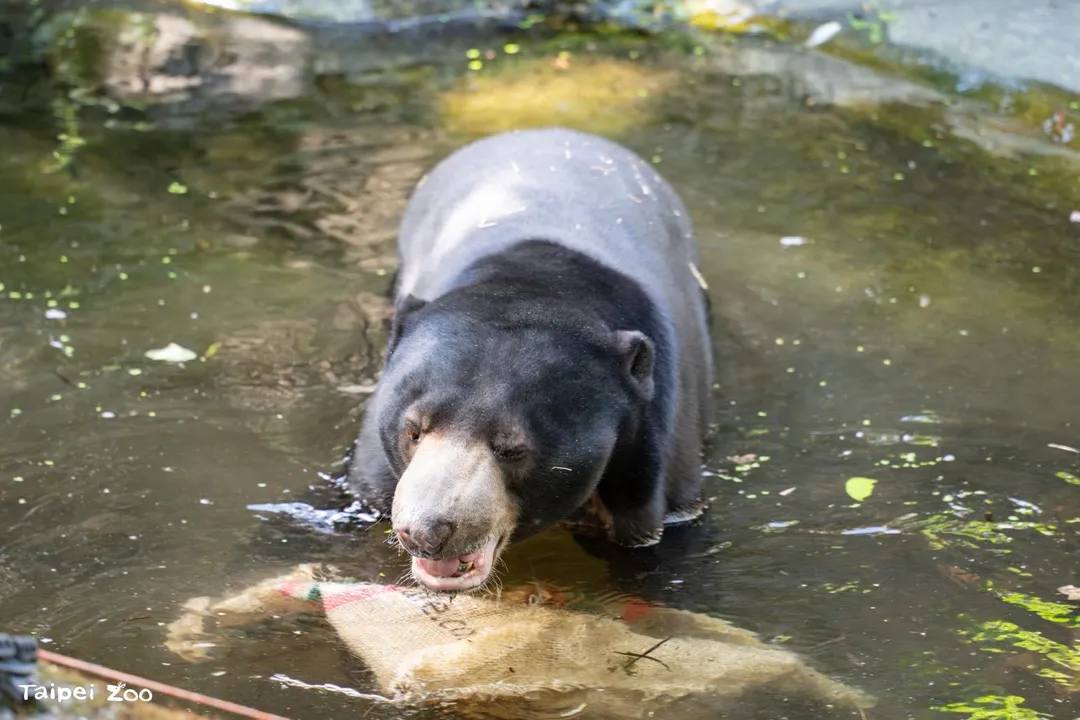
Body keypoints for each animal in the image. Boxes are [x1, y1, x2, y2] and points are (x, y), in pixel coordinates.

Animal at [346, 127, 714, 592]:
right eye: (412, 431)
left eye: (513, 449)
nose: (424, 532)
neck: (537, 283)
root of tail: (542, 130)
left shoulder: (652, 450)